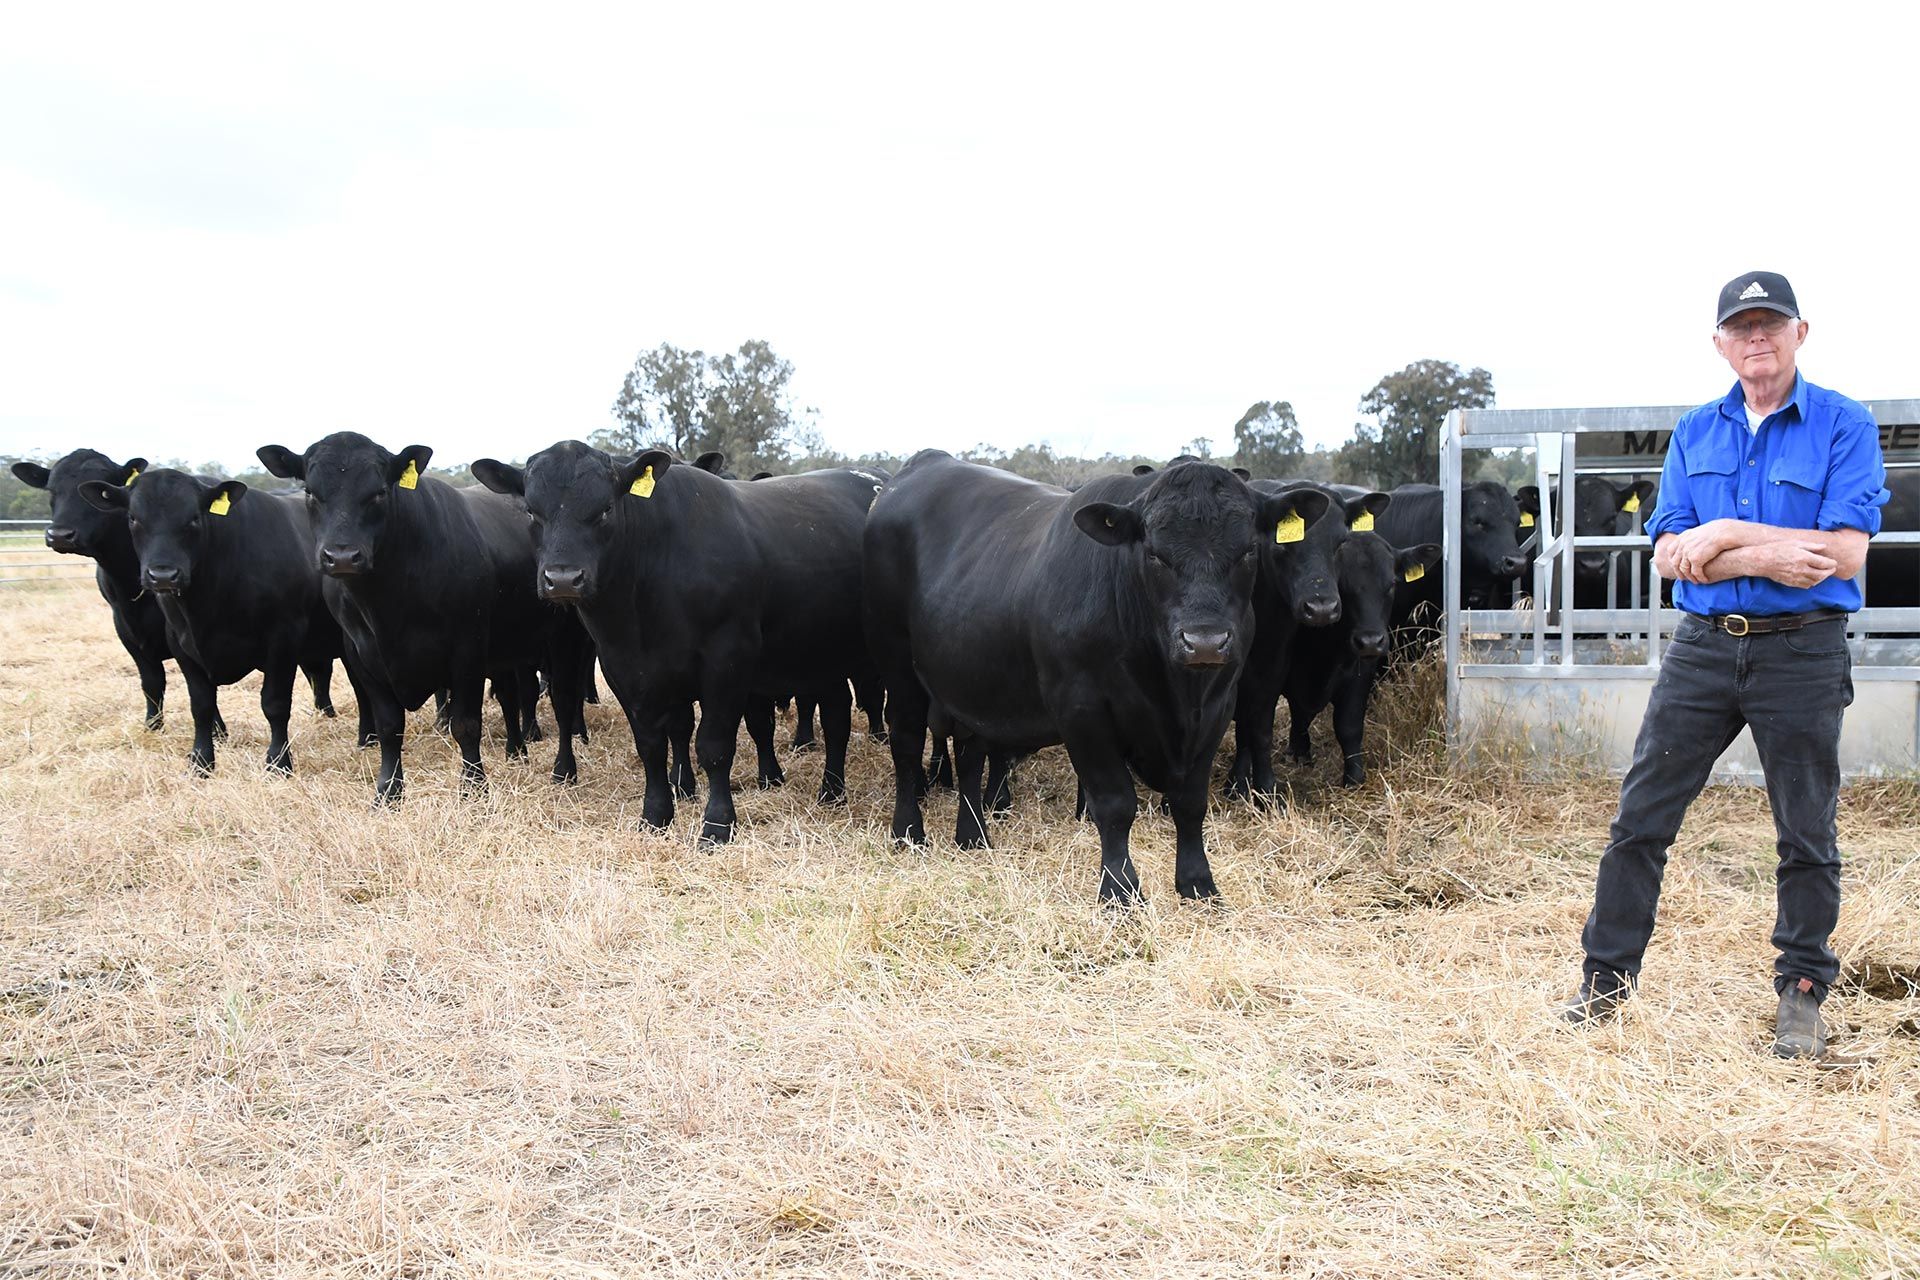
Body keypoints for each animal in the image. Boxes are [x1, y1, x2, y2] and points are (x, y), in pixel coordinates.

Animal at [77, 469, 352, 775]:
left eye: (194, 518)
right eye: (133, 518)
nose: (163, 575)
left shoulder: (283, 638)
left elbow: (275, 703)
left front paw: (279, 762)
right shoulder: (182, 644)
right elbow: (201, 706)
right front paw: (201, 762)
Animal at [256, 433, 585, 801]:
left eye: (379, 492)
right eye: (310, 492)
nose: (341, 557)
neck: (388, 605)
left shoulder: (467, 649)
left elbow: (465, 724)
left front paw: (474, 787)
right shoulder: (362, 656)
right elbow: (388, 727)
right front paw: (388, 791)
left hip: (563, 637)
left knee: (563, 700)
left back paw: (563, 770)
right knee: (510, 697)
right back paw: (515, 752)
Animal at [469, 442, 878, 843]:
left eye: (605, 509)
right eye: (531, 511)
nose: (563, 579)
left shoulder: (727, 660)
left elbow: (714, 745)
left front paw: (717, 825)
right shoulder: (625, 668)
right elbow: (652, 744)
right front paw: (656, 816)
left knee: (836, 718)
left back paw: (831, 790)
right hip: (822, 654)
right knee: (837, 713)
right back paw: (831, 790)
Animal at [864, 450, 1319, 904]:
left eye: (1249, 551)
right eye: (1154, 554)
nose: (1204, 642)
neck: (1176, 695)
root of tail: (924, 463)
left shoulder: (1217, 708)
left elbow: (1191, 803)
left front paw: (1198, 884)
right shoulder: (1083, 710)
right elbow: (1115, 805)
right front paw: (1120, 890)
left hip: (971, 681)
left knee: (970, 753)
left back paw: (973, 837)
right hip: (897, 663)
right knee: (907, 742)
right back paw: (908, 833)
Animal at [1284, 521, 1442, 786]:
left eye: (1391, 585)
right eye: (1342, 586)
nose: (1370, 641)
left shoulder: (1360, 673)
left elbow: (1348, 726)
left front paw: (1354, 777)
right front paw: (1300, 753)